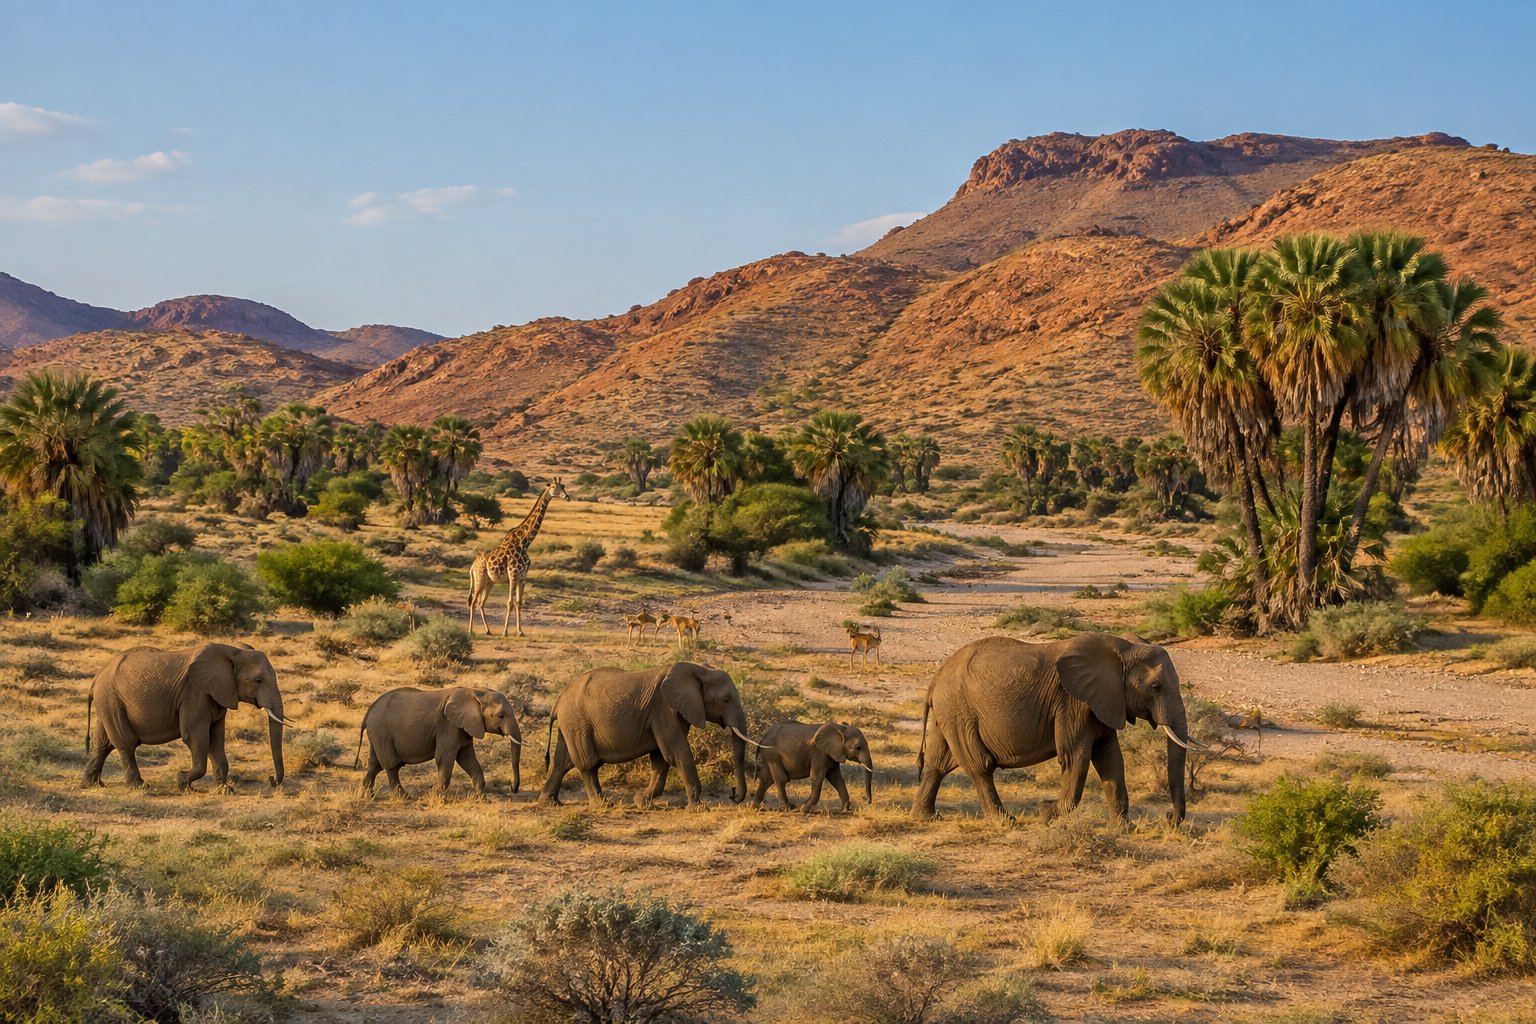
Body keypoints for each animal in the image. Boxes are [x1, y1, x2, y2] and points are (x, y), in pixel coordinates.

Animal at [82, 642, 287, 791]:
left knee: (104, 743)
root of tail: (96, 679)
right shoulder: (195, 695)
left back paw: (92, 785)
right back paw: (140, 787)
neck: (233, 651)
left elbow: (216, 738)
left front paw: (224, 790)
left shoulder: (217, 696)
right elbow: (195, 737)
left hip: (109, 702)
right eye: (258, 680)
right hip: (111, 699)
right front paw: (182, 782)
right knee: (126, 743)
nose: (271, 780)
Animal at [357, 686, 522, 796]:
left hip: (377, 734)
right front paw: (432, 795)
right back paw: (404, 797)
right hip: (382, 732)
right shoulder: (448, 726)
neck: (478, 692)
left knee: (374, 764)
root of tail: (369, 712)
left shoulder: (462, 727)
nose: (512, 787)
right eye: (500, 715)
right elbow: (444, 757)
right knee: (391, 765)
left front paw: (481, 799)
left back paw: (367, 796)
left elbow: (467, 759)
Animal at [538, 662, 749, 809]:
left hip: (570, 725)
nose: (733, 795)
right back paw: (603, 805)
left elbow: (661, 758)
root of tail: (558, 701)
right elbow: (677, 753)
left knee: (562, 762)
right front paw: (698, 809)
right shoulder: (664, 709)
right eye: (725, 700)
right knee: (588, 763)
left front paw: (641, 802)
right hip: (578, 723)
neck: (698, 669)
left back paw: (549, 803)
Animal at [911, 633, 1208, 823]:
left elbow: (1110, 759)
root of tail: (936, 677)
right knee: (980, 765)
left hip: (949, 713)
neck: (1123, 648)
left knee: (938, 763)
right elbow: (1076, 757)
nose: (1169, 817)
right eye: (1156, 687)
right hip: (960, 711)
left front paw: (1125, 829)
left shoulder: (1102, 702)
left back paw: (927, 817)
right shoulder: (1072, 701)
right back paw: (1005, 821)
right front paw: (1046, 813)